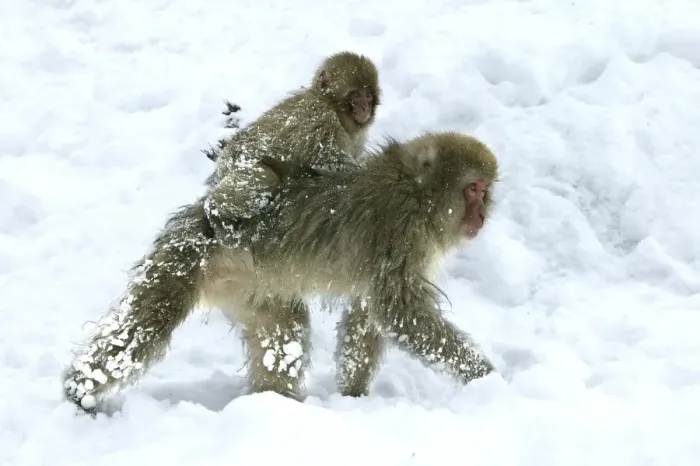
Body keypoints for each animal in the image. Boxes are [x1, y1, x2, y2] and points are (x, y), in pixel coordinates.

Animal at [61, 131, 497, 413]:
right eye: (473, 187)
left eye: (485, 189)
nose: (482, 214)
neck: (418, 194)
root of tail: (200, 215)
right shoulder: (399, 233)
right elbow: (400, 313)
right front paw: (487, 378)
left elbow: (366, 315)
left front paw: (352, 396)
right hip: (182, 261)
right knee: (142, 332)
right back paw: (79, 394)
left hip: (249, 287)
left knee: (284, 332)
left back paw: (276, 408)